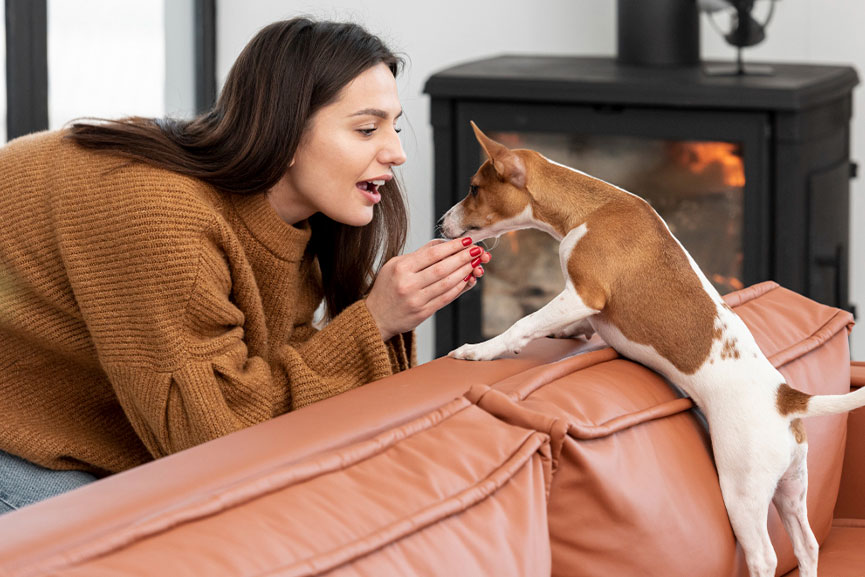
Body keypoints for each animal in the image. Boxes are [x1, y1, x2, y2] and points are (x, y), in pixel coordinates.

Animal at [442, 120, 860, 576]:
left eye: (474, 188)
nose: (442, 222)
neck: (590, 208)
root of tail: (787, 398)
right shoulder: (587, 306)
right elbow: (575, 326)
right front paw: (567, 334)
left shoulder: (585, 293)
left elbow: (524, 324)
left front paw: (480, 349)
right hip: (792, 487)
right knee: (807, 545)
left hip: (743, 492)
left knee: (765, 555)